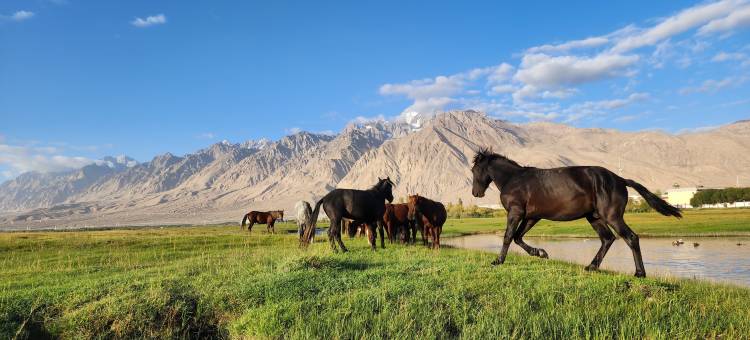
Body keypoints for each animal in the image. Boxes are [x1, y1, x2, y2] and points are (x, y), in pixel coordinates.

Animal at [472, 147, 684, 278]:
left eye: (475, 170)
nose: (475, 193)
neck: (514, 179)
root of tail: (620, 179)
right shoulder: (532, 216)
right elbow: (518, 237)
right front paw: (541, 253)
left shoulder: (516, 212)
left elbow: (508, 236)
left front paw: (498, 261)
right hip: (594, 217)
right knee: (608, 239)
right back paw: (591, 267)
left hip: (612, 216)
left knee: (630, 237)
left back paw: (639, 273)